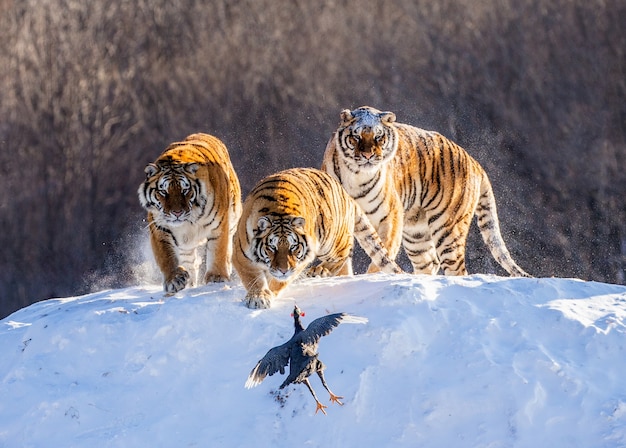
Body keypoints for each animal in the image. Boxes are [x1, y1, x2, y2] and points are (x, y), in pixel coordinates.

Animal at [136, 133, 241, 294]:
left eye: (185, 190)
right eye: (164, 192)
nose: (177, 213)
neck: (188, 222)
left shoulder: (219, 225)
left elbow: (218, 251)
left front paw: (217, 278)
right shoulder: (159, 228)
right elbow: (165, 256)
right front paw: (174, 279)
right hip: (186, 246)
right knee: (189, 261)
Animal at [232, 166, 402, 310]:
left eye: (293, 247)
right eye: (272, 247)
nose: (283, 270)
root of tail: (346, 194)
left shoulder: (298, 262)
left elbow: (277, 282)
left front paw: (268, 294)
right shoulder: (241, 255)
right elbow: (252, 278)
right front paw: (258, 297)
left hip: (332, 240)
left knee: (344, 253)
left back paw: (319, 270)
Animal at [320, 107, 528, 278]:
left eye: (379, 136)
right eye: (356, 137)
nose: (368, 155)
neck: (356, 175)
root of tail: (474, 162)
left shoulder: (391, 216)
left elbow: (383, 252)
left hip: (447, 229)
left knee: (456, 269)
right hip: (416, 233)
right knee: (429, 262)